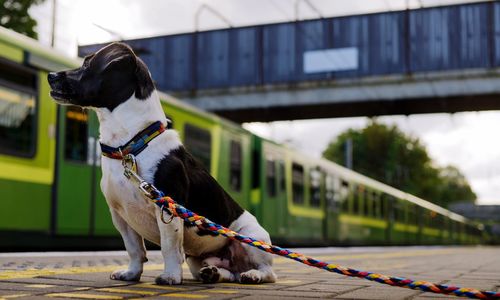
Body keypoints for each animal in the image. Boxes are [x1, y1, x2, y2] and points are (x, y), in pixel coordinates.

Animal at [48, 42, 276, 286]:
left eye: (88, 64)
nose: (51, 75)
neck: (131, 143)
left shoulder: (168, 209)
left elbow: (169, 247)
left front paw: (170, 276)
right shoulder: (120, 215)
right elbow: (134, 249)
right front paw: (131, 273)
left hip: (251, 241)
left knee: (267, 271)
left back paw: (253, 275)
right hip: (197, 259)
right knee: (227, 273)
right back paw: (213, 273)